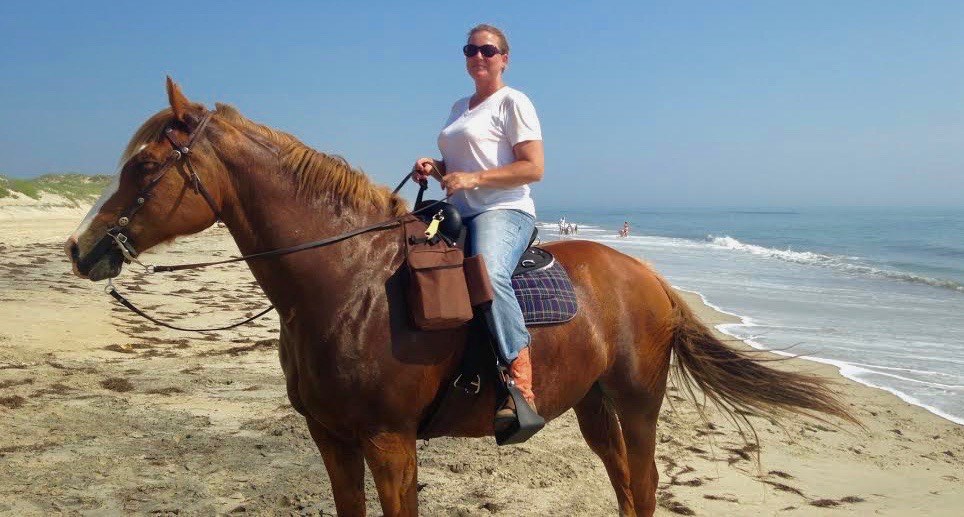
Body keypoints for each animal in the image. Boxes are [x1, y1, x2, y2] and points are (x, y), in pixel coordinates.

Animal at [64, 77, 856, 516]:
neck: (347, 285)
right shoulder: (332, 439)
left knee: (647, 484)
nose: (80, 246)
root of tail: (650, 277)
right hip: (595, 407)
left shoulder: (388, 443)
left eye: (145, 165)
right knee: (627, 489)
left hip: (637, 406)